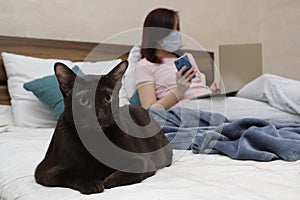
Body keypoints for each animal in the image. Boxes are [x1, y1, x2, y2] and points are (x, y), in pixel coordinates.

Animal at [34, 61, 172, 194]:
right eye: (83, 101)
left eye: (108, 98)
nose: (99, 116)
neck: (95, 139)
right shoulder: (46, 171)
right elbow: (72, 174)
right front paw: (92, 183)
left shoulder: (144, 161)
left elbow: (132, 171)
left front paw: (107, 181)